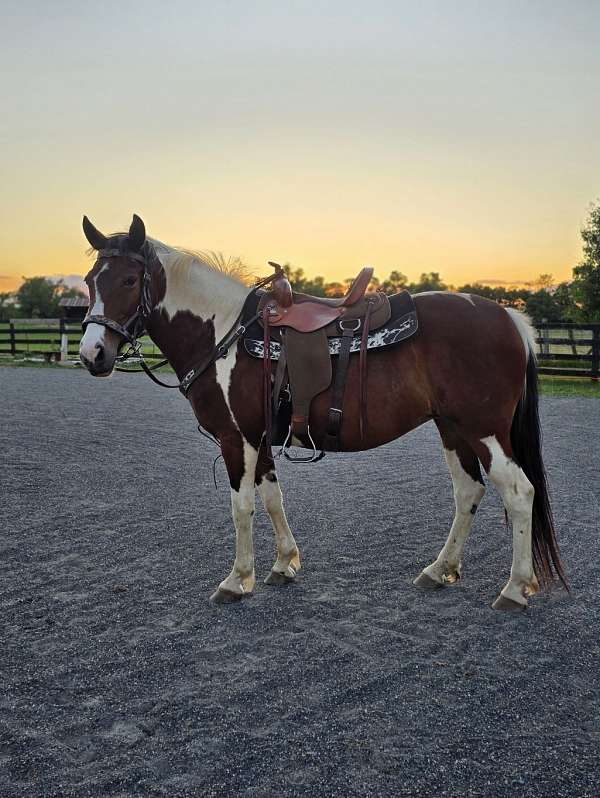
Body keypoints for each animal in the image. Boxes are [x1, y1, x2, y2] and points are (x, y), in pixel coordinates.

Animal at [78, 214, 568, 610]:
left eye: (128, 281)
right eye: (88, 280)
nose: (92, 354)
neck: (221, 332)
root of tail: (509, 319)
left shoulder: (237, 439)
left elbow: (242, 507)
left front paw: (237, 580)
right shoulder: (261, 439)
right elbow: (272, 499)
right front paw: (284, 564)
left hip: (484, 430)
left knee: (519, 492)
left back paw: (515, 589)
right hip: (453, 429)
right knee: (468, 491)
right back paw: (439, 570)